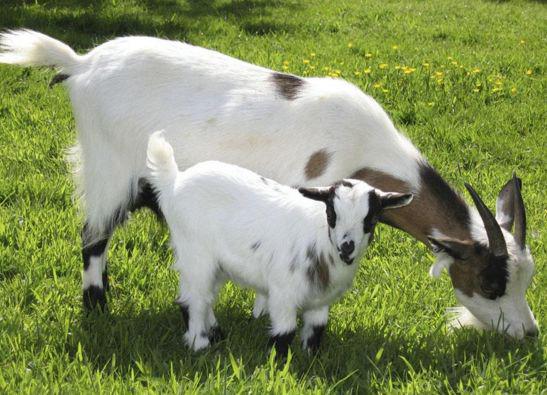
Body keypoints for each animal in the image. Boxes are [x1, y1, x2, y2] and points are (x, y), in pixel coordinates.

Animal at [148, 131, 414, 354]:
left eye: (371, 219)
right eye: (331, 213)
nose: (347, 246)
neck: (321, 239)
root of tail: (174, 181)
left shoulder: (320, 302)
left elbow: (316, 332)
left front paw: (310, 360)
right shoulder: (283, 293)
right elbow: (284, 333)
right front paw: (277, 366)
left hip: (216, 263)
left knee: (206, 298)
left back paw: (216, 334)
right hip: (195, 252)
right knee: (193, 299)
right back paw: (199, 344)